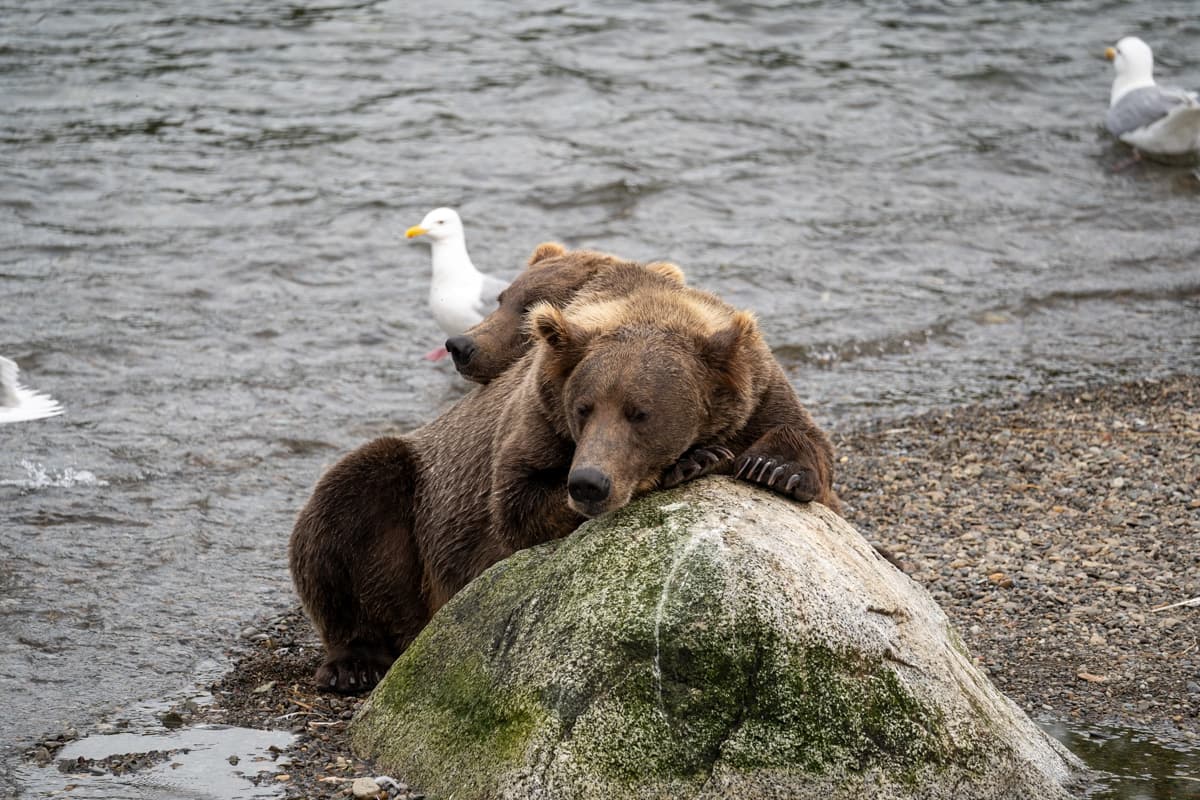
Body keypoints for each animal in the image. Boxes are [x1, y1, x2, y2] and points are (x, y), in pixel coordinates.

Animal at [289, 247, 686, 693]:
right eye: (502, 297)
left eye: (528, 308)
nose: (460, 344)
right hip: (419, 501)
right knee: (349, 507)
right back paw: (355, 662)